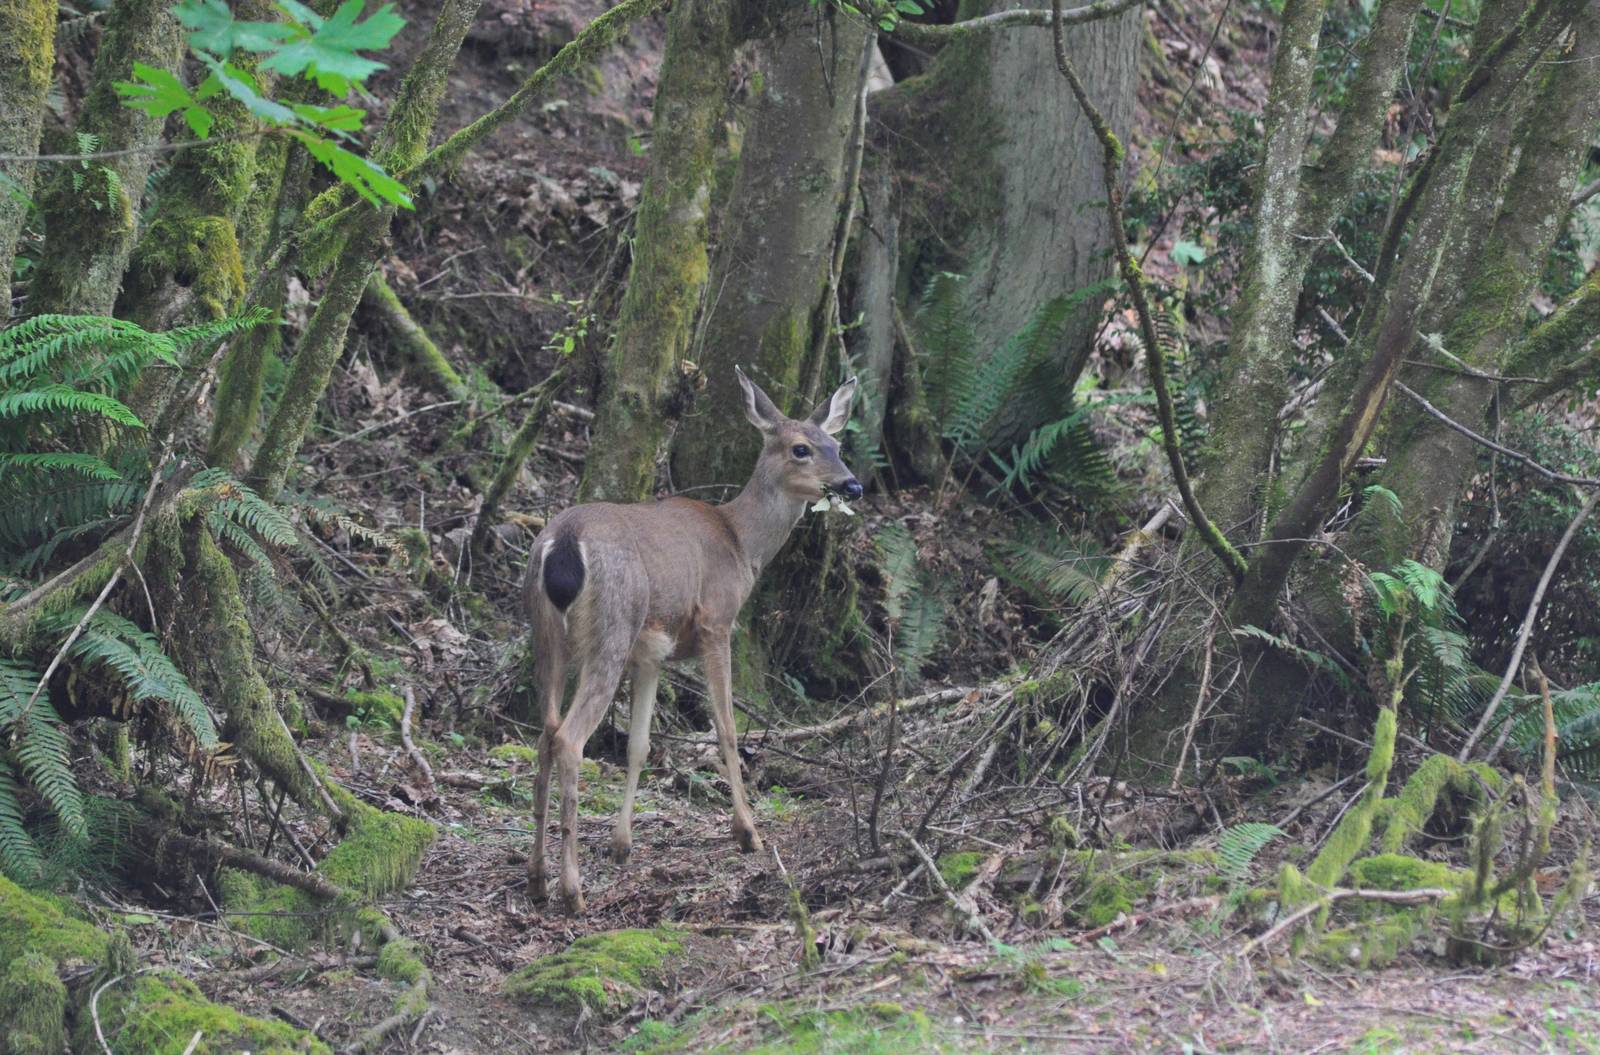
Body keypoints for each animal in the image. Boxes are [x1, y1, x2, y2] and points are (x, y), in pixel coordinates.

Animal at [523, 367, 862, 913]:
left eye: (837, 443)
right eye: (800, 448)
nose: (853, 484)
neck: (741, 544)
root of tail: (563, 544)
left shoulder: (650, 654)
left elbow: (638, 745)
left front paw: (622, 844)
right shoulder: (716, 621)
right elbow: (727, 729)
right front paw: (748, 833)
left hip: (545, 633)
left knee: (543, 736)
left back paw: (536, 879)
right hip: (612, 627)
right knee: (569, 740)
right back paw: (572, 890)